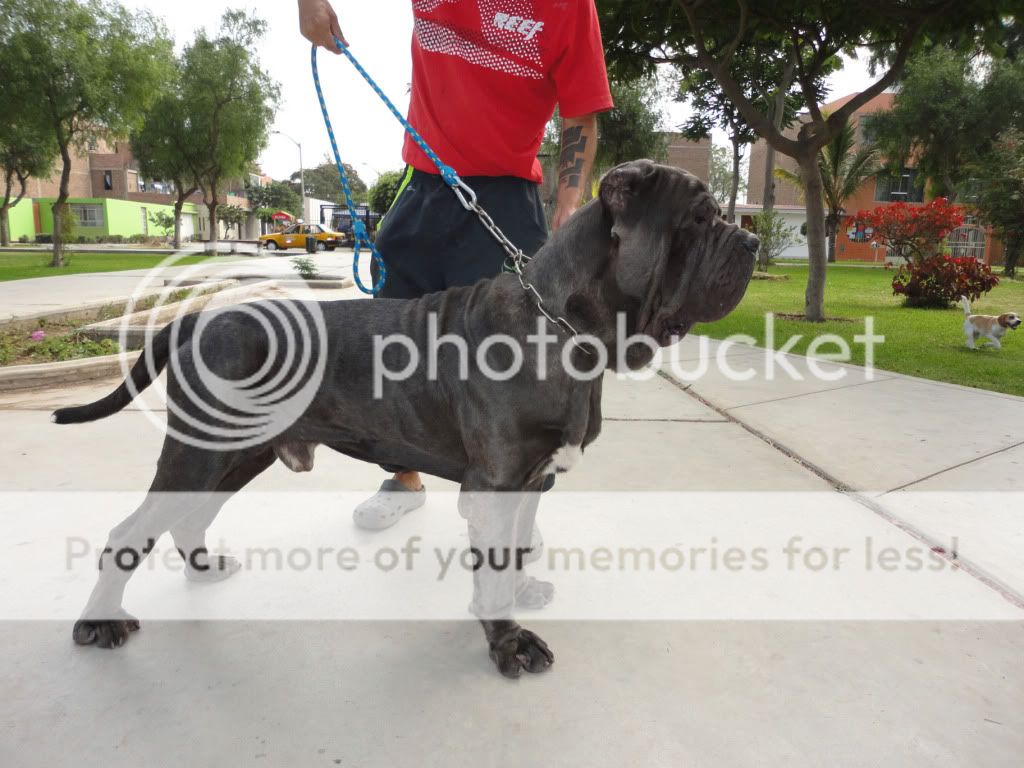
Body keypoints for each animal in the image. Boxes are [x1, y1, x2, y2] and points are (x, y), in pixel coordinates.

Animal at [58, 160, 761, 679]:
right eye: (700, 218)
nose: (753, 239)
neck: (563, 329)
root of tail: (196, 320)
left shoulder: (531, 479)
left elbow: (516, 547)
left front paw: (520, 592)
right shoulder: (495, 485)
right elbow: (493, 565)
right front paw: (508, 640)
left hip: (238, 454)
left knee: (187, 518)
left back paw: (203, 569)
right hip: (201, 452)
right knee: (129, 533)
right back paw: (98, 622)